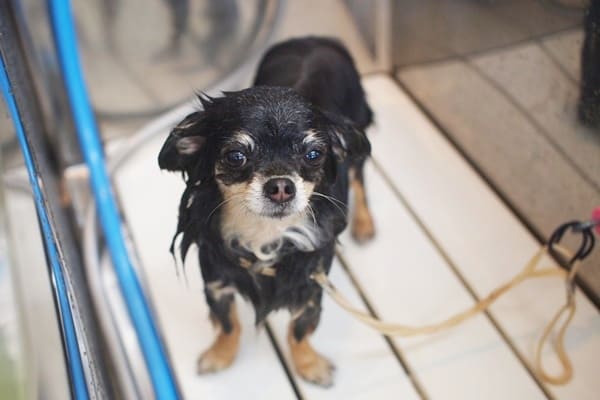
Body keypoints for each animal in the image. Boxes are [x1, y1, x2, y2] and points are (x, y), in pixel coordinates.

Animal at [158, 37, 375, 387]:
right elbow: (228, 325)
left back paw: (365, 224)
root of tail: (317, 40)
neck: (263, 236)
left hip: (357, 152)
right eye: (236, 156)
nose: (281, 186)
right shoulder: (217, 283)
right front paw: (220, 355)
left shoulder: (310, 287)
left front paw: (309, 365)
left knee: (360, 182)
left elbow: (299, 331)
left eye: (313, 154)